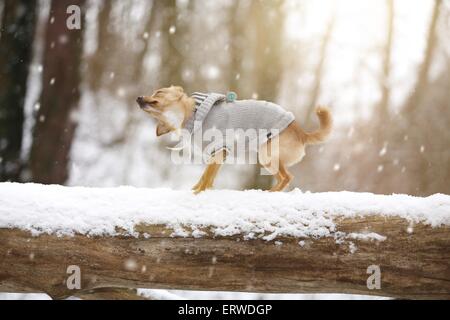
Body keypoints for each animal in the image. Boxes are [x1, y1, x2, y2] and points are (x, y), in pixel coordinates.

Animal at [135, 85, 332, 194]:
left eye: (158, 92)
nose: (138, 98)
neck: (193, 114)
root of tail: (302, 133)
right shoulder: (216, 155)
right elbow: (207, 177)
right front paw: (199, 190)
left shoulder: (218, 150)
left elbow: (206, 178)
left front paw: (198, 193)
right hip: (267, 159)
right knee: (283, 177)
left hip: (267, 154)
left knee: (287, 177)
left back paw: (270, 192)